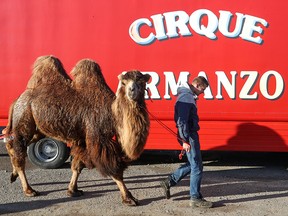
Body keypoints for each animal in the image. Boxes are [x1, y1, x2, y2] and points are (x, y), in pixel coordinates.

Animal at [5, 55, 151, 206]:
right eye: (123, 82)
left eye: (142, 81)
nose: (132, 90)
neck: (112, 113)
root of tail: (17, 100)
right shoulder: (97, 137)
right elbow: (114, 169)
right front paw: (129, 198)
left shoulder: (82, 139)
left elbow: (77, 166)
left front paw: (72, 190)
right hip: (24, 116)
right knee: (19, 147)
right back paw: (28, 189)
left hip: (39, 129)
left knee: (12, 143)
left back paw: (13, 175)